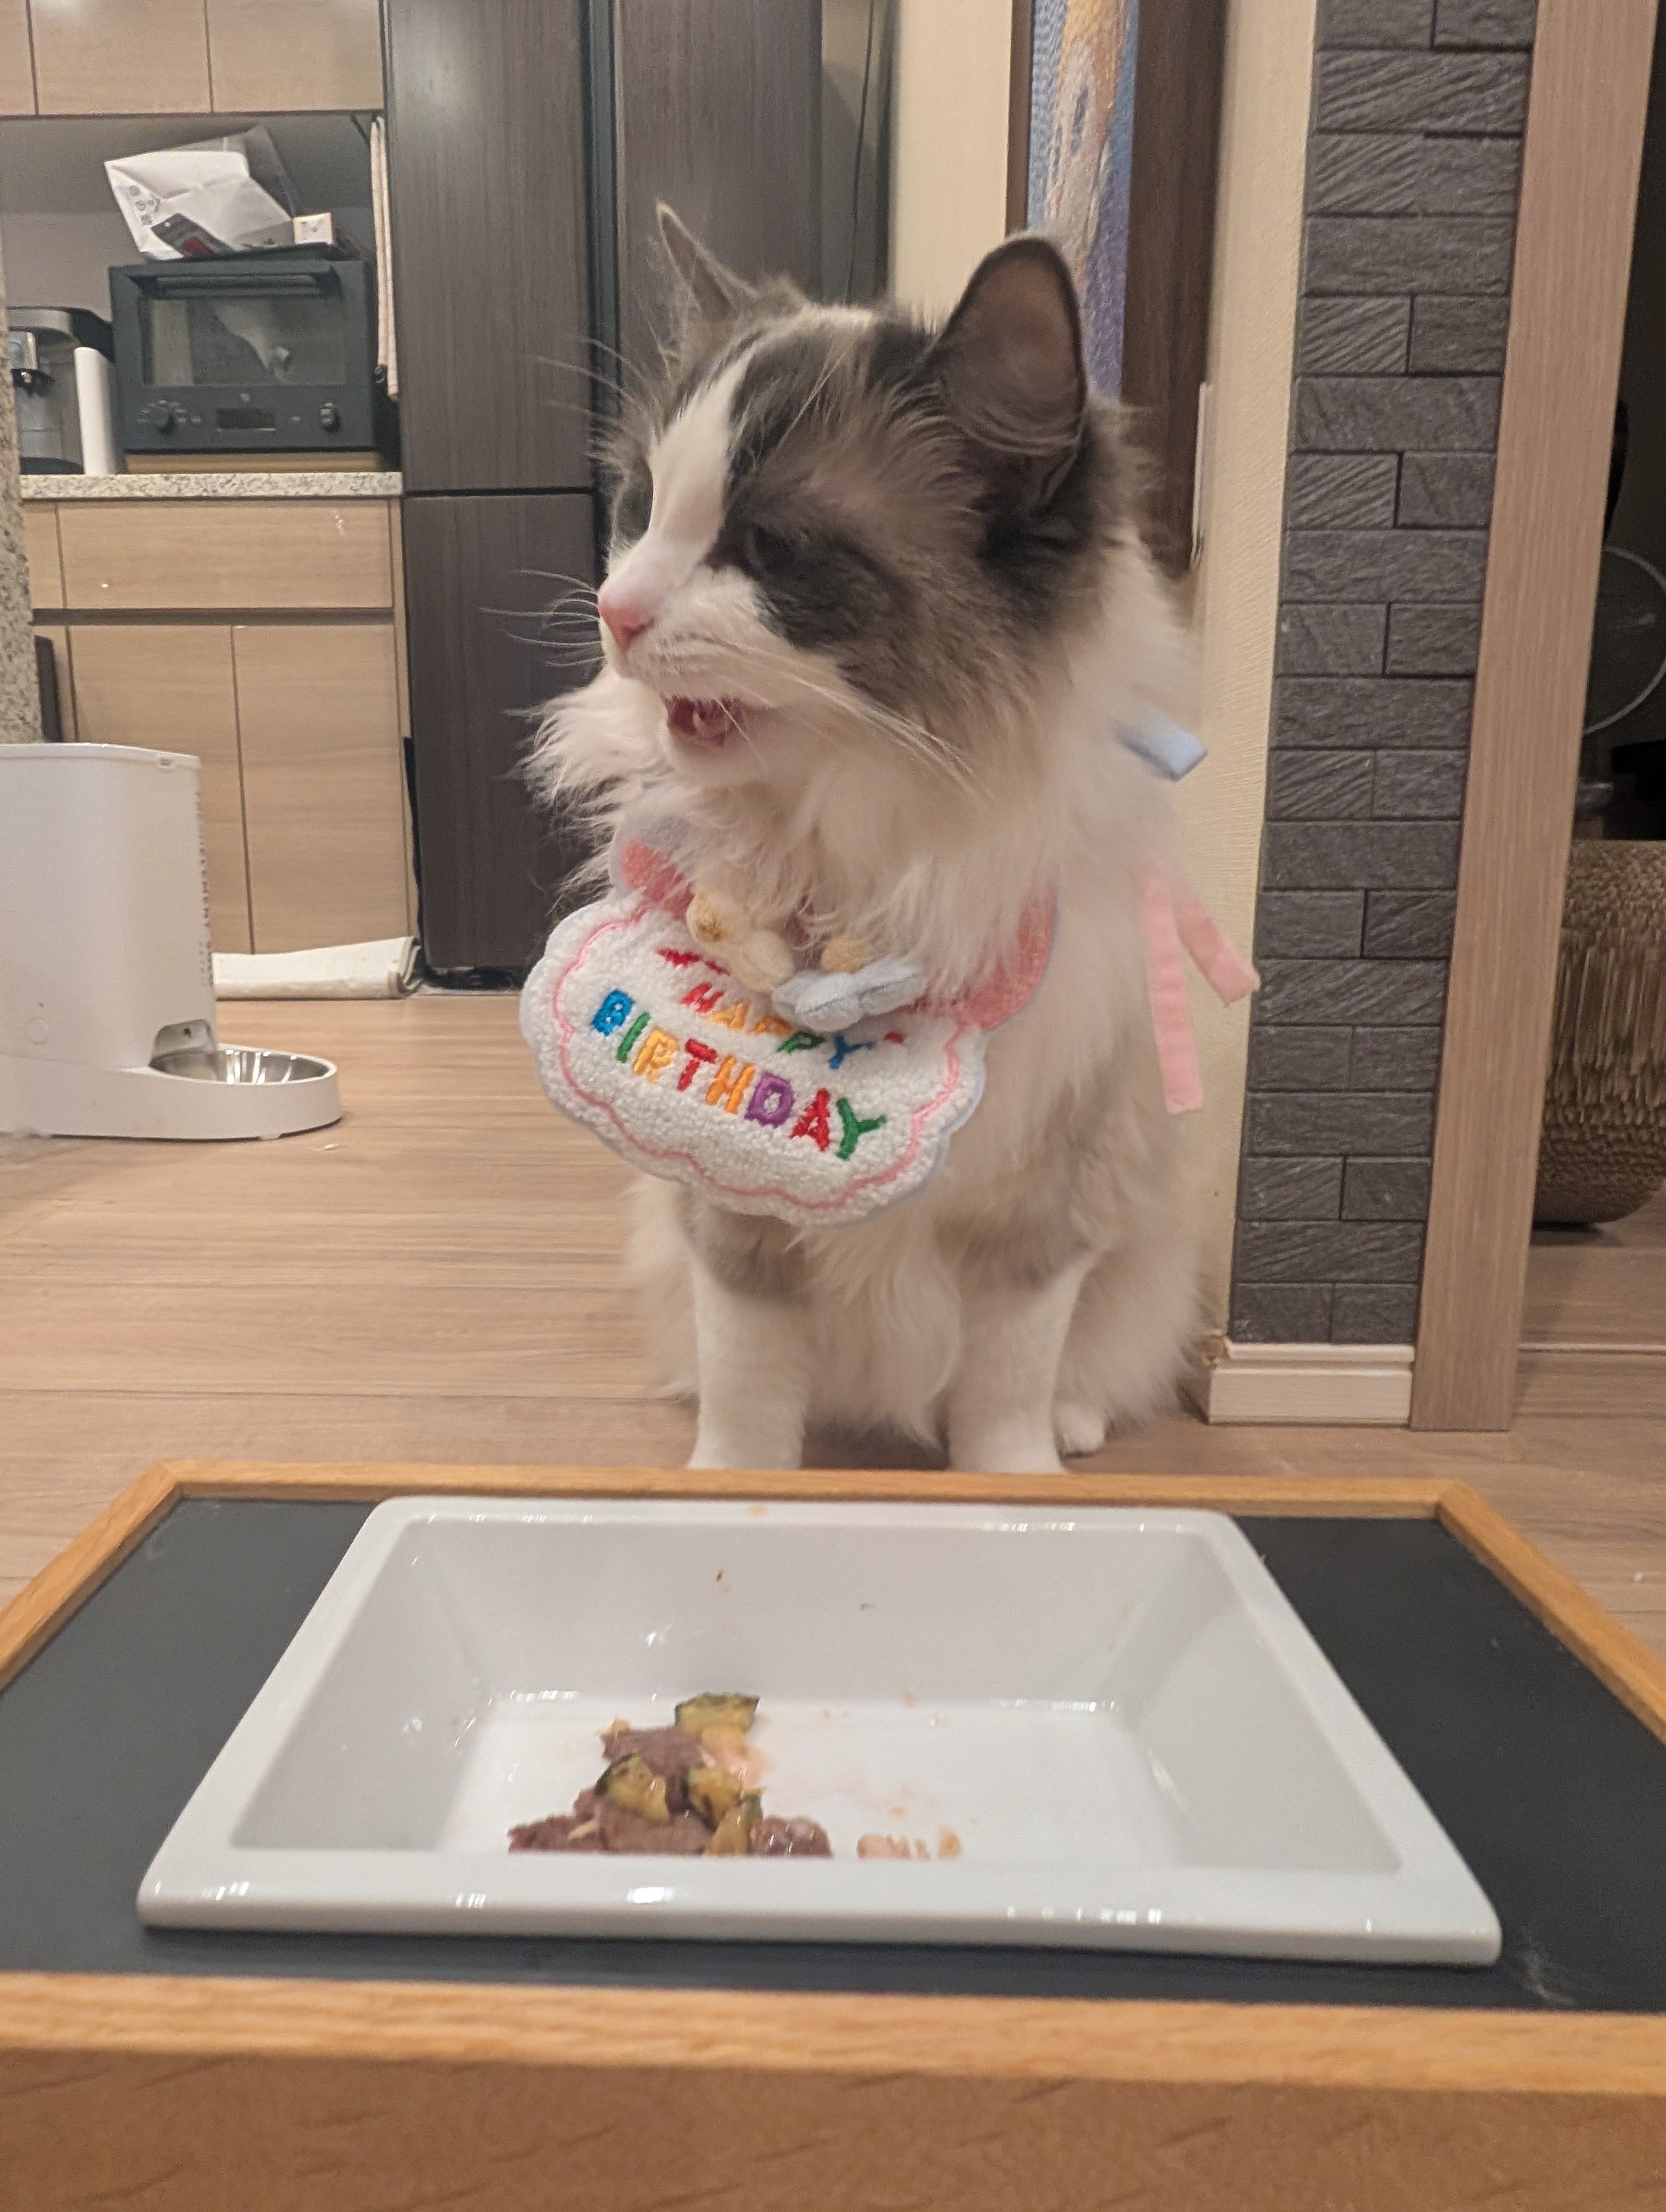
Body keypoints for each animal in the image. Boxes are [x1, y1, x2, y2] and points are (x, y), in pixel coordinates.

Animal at [531, 208, 1198, 1473]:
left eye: (768, 549)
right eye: (640, 509)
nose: (613, 611)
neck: (855, 859)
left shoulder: (1039, 1219)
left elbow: (1005, 1402)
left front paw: (1018, 1486)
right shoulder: (735, 1217)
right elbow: (747, 1403)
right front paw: (727, 1488)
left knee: (1093, 1367)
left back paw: (1078, 1428)